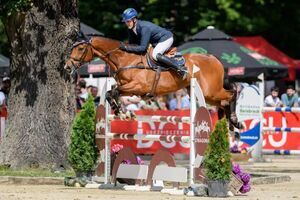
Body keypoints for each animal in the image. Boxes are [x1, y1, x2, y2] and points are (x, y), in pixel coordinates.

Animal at [65, 36, 241, 129]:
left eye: (80, 49)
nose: (67, 67)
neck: (125, 59)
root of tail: (214, 59)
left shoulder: (137, 86)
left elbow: (112, 92)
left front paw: (123, 113)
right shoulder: (130, 89)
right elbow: (111, 92)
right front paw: (124, 113)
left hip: (210, 91)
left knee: (232, 93)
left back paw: (234, 121)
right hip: (206, 94)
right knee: (225, 100)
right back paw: (229, 123)